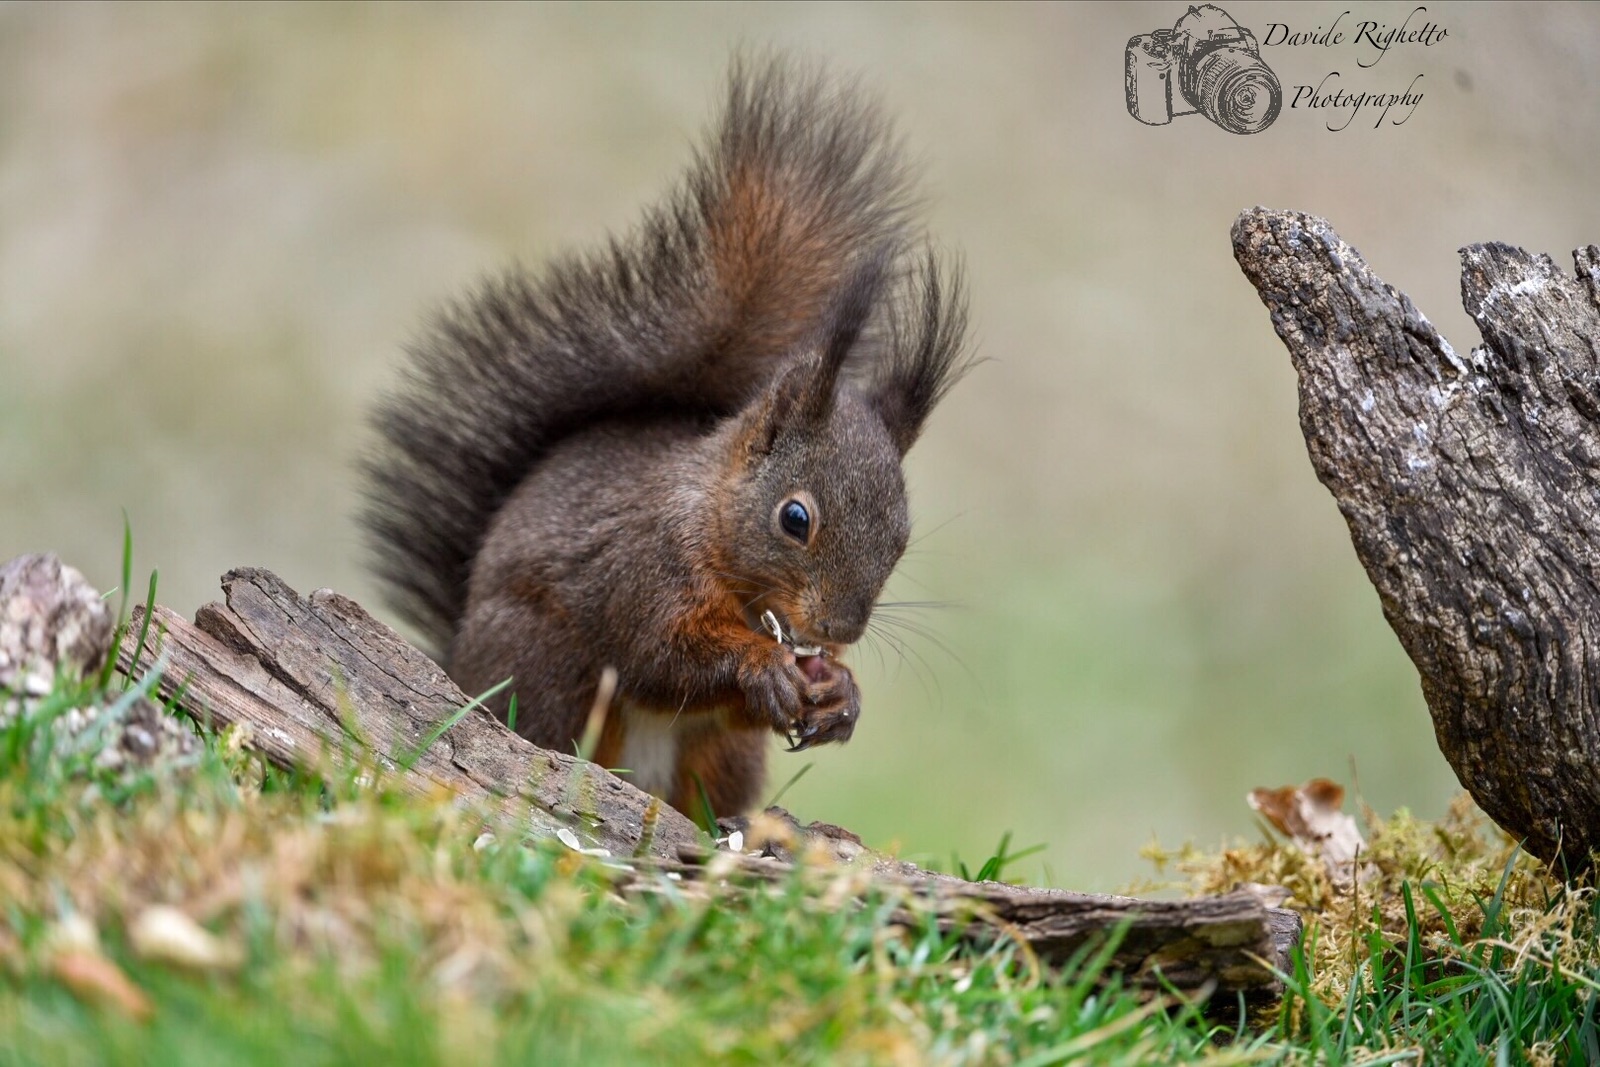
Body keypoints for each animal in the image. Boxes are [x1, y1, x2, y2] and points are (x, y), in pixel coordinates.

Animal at [360, 57, 970, 820]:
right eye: (795, 518)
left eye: (900, 538)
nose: (840, 631)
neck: (711, 525)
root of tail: (458, 665)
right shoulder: (640, 572)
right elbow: (663, 656)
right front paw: (764, 664)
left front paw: (840, 693)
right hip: (546, 668)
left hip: (723, 758)